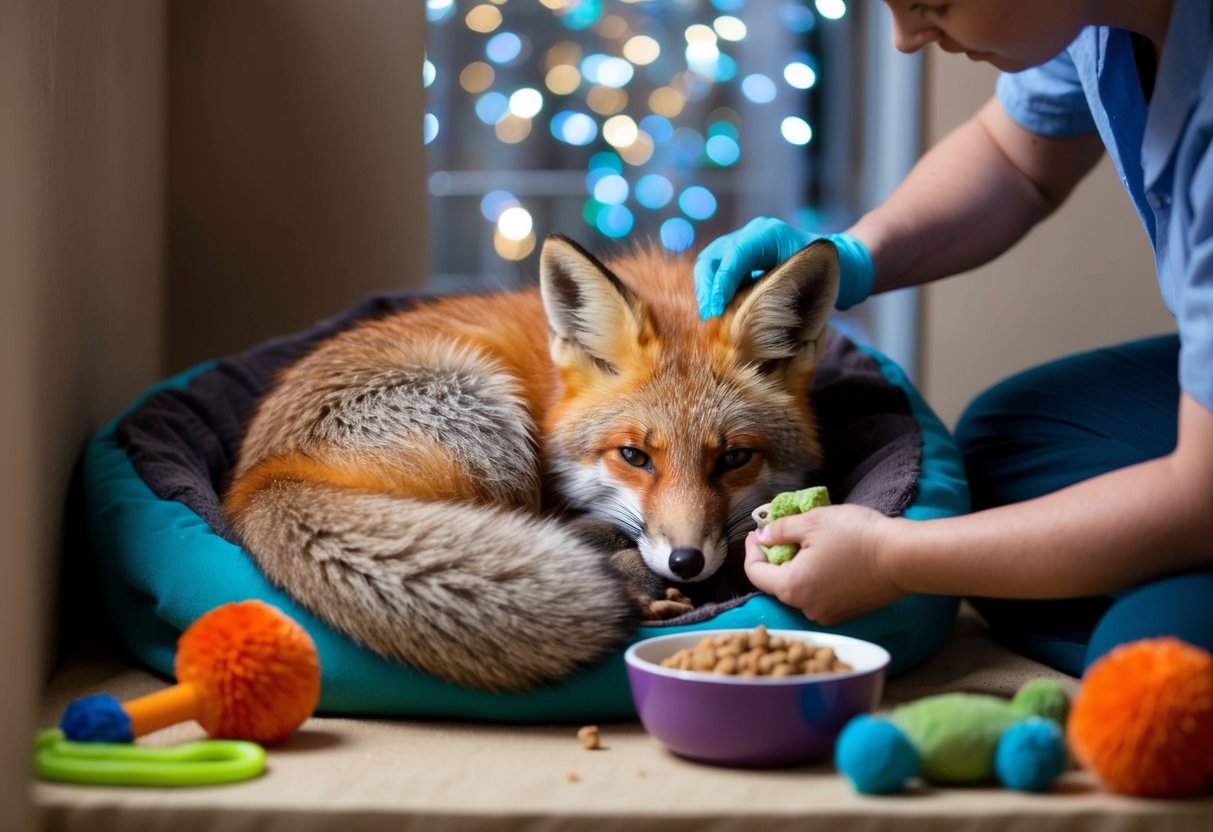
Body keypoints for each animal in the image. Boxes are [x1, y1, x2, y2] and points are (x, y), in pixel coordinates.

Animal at [222, 235, 839, 692]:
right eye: (634, 456)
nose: (685, 563)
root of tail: (264, 479)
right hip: (493, 429)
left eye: (734, 457)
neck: (550, 393)